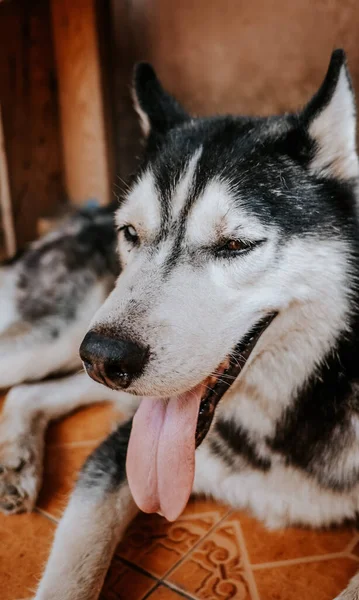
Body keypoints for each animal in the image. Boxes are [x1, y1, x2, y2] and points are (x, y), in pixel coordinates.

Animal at [0, 49, 359, 596]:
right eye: (131, 233)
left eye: (234, 245)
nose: (104, 358)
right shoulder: (118, 451)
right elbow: (70, 573)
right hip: (61, 339)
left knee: (29, 393)